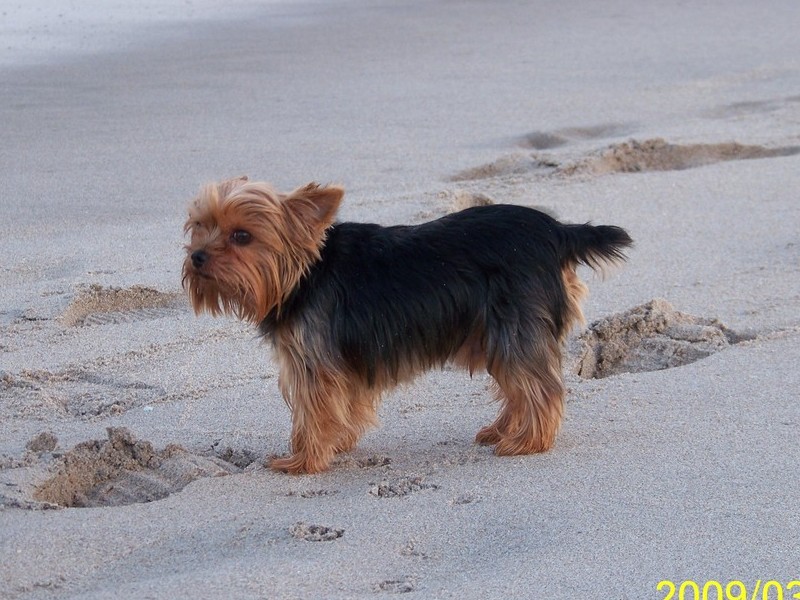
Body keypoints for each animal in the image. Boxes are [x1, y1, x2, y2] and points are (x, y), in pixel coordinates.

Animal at [183, 177, 632, 474]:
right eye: (201, 225)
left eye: (242, 236)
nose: (196, 257)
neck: (302, 275)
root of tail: (557, 231)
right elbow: (343, 408)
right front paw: (337, 444)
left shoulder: (313, 362)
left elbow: (313, 412)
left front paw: (302, 461)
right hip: (496, 332)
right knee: (521, 383)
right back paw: (503, 431)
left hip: (513, 324)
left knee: (540, 387)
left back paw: (527, 442)